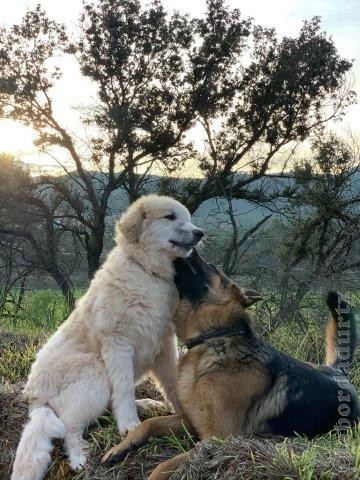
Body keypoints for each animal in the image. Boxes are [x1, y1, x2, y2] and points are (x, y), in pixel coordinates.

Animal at [11, 194, 202, 480]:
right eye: (170, 217)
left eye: (188, 218)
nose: (200, 233)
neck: (146, 272)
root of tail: (34, 398)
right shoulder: (118, 343)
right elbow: (123, 387)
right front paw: (129, 425)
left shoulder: (165, 342)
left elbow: (171, 381)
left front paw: (183, 412)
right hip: (93, 372)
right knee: (69, 426)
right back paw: (80, 458)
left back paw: (147, 404)